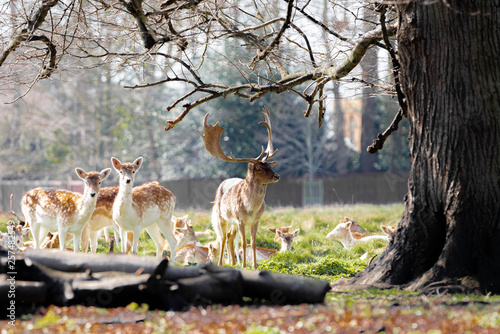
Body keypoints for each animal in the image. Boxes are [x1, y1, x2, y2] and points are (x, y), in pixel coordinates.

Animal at [197, 108, 280, 270]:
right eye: (259, 168)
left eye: (269, 165)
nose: (277, 175)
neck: (250, 209)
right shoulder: (240, 219)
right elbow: (244, 242)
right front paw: (245, 266)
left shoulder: (256, 220)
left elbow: (253, 243)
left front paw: (254, 266)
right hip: (221, 217)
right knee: (223, 237)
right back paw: (222, 263)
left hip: (232, 223)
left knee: (229, 236)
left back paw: (234, 263)